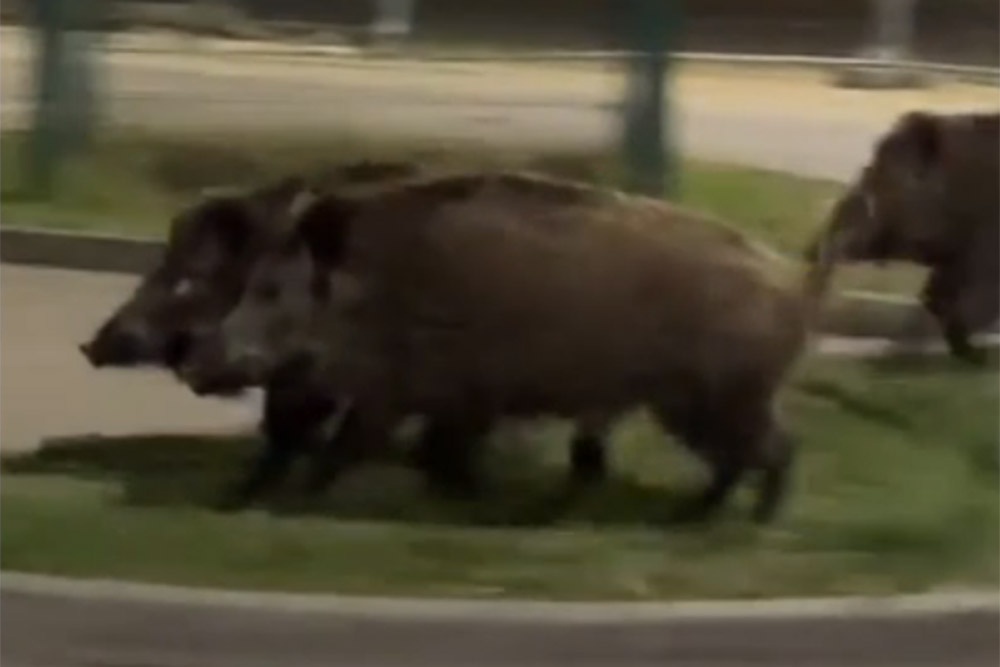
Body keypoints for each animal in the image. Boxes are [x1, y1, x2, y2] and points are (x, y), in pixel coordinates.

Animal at [181, 171, 835, 523]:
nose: (194, 363)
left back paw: (739, 521)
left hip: (720, 398)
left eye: (270, 289)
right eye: (249, 284)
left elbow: (352, 447)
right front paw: (462, 501)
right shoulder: (451, 401)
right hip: (689, 404)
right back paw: (696, 515)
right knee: (746, 456)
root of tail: (798, 287)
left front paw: (300, 503)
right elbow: (434, 455)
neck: (371, 292)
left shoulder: (410, 392)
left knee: (774, 450)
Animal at [805, 110, 999, 363]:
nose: (808, 251)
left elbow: (966, 302)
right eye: (870, 169)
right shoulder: (958, 252)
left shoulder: (984, 248)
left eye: (873, 177)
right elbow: (936, 297)